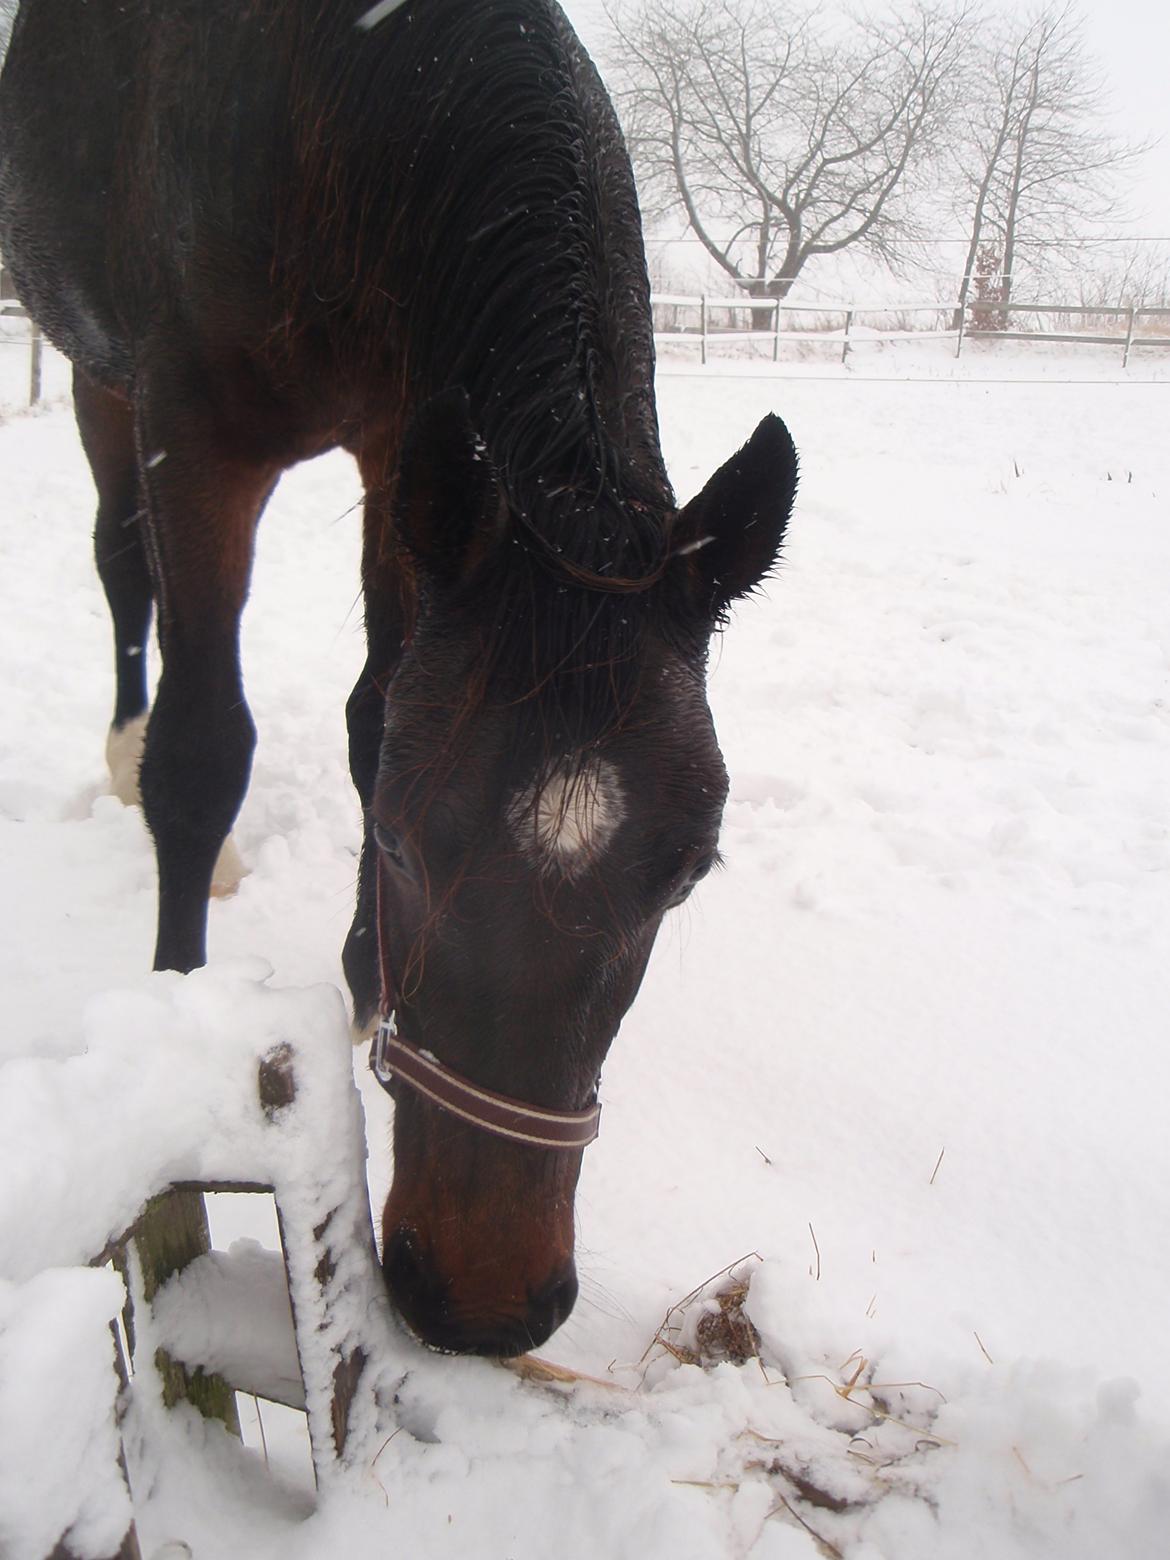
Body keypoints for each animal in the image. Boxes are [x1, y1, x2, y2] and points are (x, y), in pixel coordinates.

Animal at [0, 0, 798, 1360]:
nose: (480, 1300)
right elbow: (205, 750)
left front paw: (364, 982)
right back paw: (122, 753)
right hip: (103, 377)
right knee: (120, 565)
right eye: (403, 845)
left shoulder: (405, 436)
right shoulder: (197, 436)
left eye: (688, 876)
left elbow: (379, 708)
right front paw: (180, 1008)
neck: (333, 93)